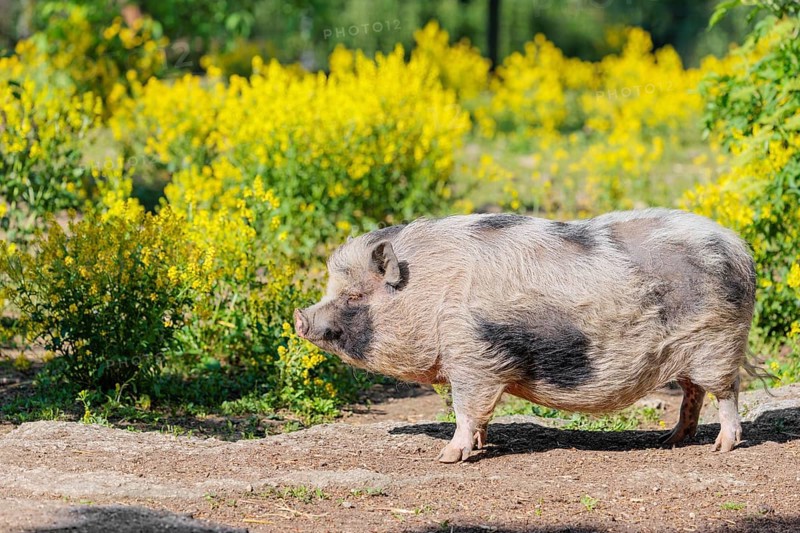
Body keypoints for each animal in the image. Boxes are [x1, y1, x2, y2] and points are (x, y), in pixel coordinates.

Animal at [294, 208, 757, 463]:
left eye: (354, 296)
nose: (300, 317)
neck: (432, 291)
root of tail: (739, 248)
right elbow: (479, 414)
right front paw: (480, 445)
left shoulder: (473, 357)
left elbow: (465, 409)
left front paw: (446, 457)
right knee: (693, 393)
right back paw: (670, 440)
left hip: (718, 341)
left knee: (727, 392)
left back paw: (721, 448)